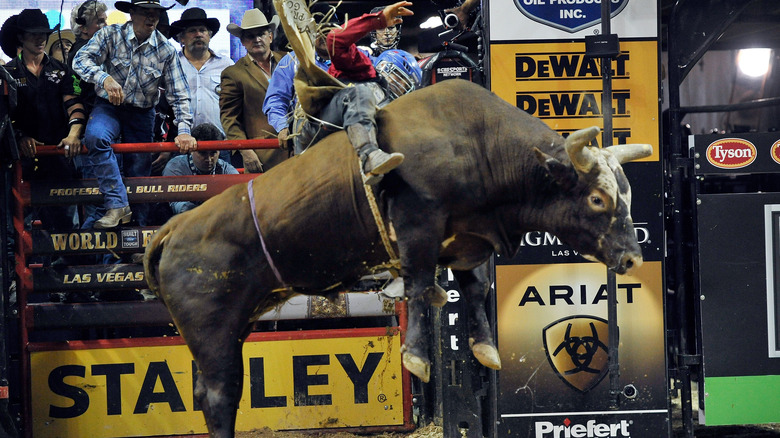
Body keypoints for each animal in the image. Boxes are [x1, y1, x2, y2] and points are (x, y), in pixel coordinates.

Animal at [143, 79, 648, 438]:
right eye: (598, 199)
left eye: (626, 194)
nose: (631, 259)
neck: (479, 143)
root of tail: (173, 228)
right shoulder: (417, 224)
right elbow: (422, 286)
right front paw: (417, 358)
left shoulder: (465, 243)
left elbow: (473, 289)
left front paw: (484, 349)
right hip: (211, 330)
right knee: (219, 395)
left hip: (233, 324)